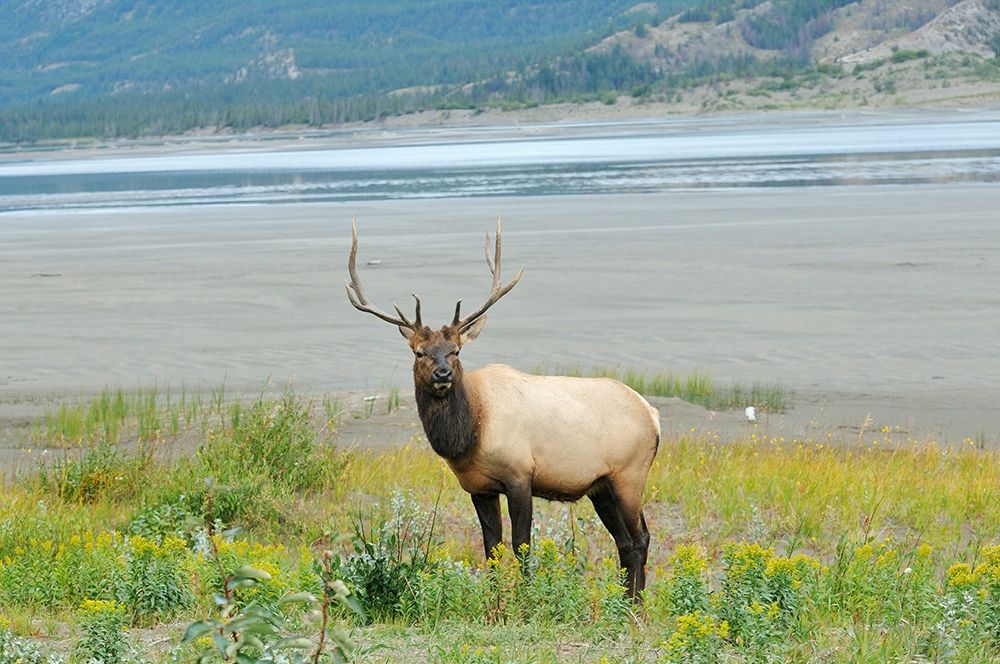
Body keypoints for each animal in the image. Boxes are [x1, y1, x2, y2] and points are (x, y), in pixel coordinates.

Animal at [348, 218, 660, 596]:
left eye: (455, 351)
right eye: (419, 352)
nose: (443, 374)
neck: (469, 434)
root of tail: (653, 416)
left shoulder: (520, 474)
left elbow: (521, 545)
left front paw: (524, 599)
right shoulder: (478, 487)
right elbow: (492, 549)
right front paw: (495, 600)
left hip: (630, 474)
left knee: (641, 537)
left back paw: (635, 604)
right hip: (601, 486)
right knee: (625, 542)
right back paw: (626, 602)